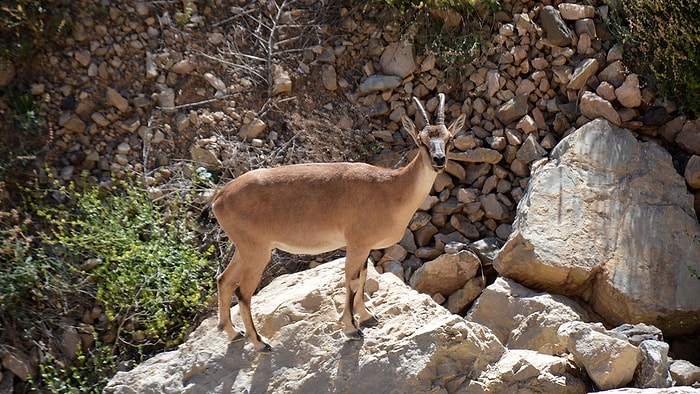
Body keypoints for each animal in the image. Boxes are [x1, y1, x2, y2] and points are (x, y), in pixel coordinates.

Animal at [205, 93, 468, 350]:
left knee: (224, 280)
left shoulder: (365, 247)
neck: (391, 188)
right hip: (257, 252)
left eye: (449, 138)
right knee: (243, 292)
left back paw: (233, 333)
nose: (439, 160)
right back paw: (260, 343)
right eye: (421, 140)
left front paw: (366, 316)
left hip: (245, 248)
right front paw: (351, 328)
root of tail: (219, 197)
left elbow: (362, 277)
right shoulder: (356, 243)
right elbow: (351, 281)